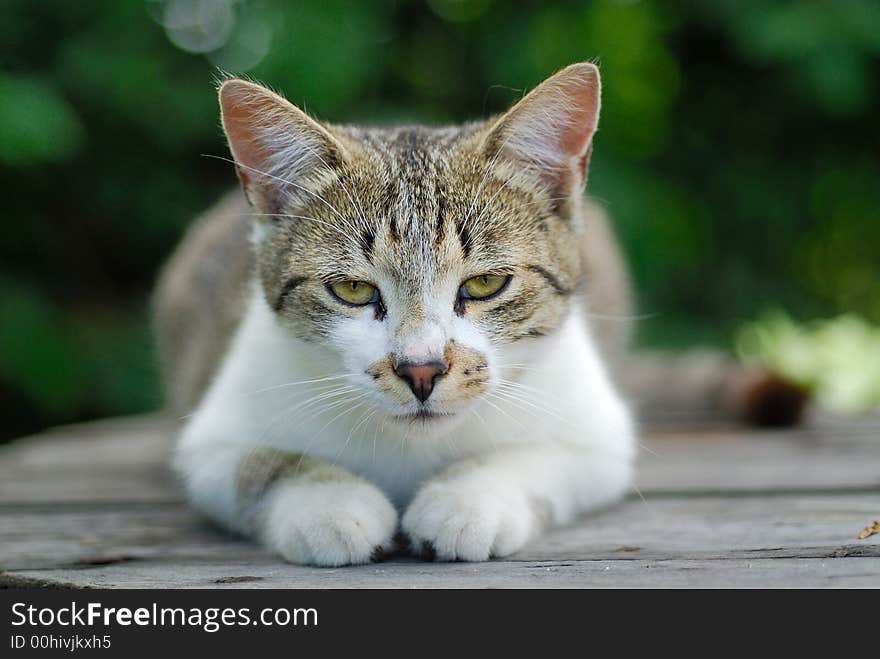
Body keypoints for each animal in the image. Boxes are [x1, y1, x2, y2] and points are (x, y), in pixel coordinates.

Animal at [155, 63, 640, 568]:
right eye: (353, 289)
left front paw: (467, 499)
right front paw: (330, 505)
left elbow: (535, 456)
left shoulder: (597, 433)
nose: (421, 370)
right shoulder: (212, 440)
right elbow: (263, 464)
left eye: (485, 283)